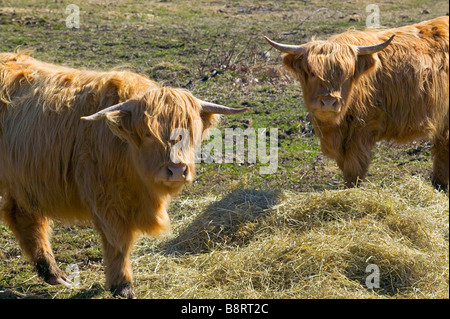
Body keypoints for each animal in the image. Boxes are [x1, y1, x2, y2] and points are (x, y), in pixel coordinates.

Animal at [0, 51, 248, 298]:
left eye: (190, 131)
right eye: (148, 134)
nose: (177, 170)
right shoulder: (106, 199)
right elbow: (118, 243)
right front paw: (122, 285)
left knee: (25, 218)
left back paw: (53, 274)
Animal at [266, 15, 448, 190]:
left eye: (346, 75)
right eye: (311, 73)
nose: (328, 102)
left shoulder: (362, 129)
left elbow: (354, 166)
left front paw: (351, 190)